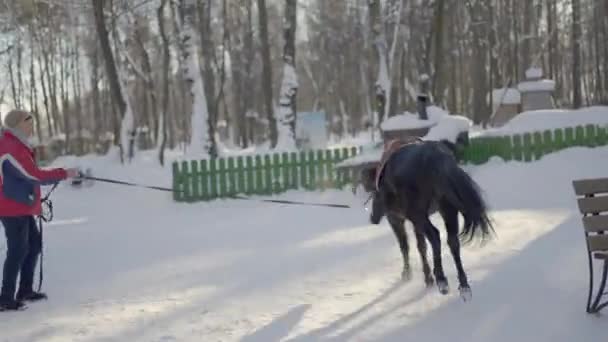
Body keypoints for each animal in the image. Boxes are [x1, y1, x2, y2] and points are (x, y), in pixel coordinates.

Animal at [360, 138, 494, 300]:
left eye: (374, 193)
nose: (373, 218)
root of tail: (435, 159)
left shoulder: (397, 219)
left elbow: (406, 246)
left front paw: (408, 274)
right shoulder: (416, 222)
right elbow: (421, 246)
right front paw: (427, 277)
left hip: (417, 214)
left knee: (435, 236)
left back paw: (441, 280)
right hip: (446, 209)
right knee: (452, 241)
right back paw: (463, 286)